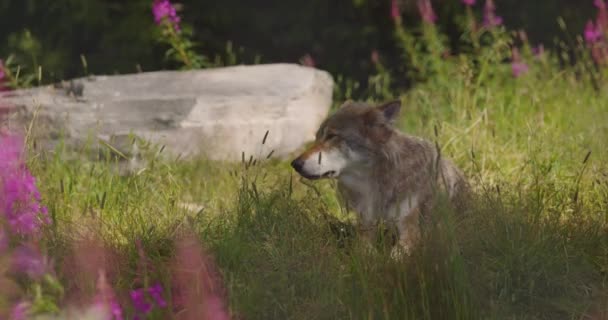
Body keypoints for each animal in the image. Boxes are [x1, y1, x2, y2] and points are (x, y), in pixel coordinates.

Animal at [290, 99, 466, 255]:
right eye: (317, 138)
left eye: (332, 136)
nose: (295, 164)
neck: (376, 186)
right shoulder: (366, 227)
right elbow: (365, 252)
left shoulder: (410, 232)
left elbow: (394, 257)